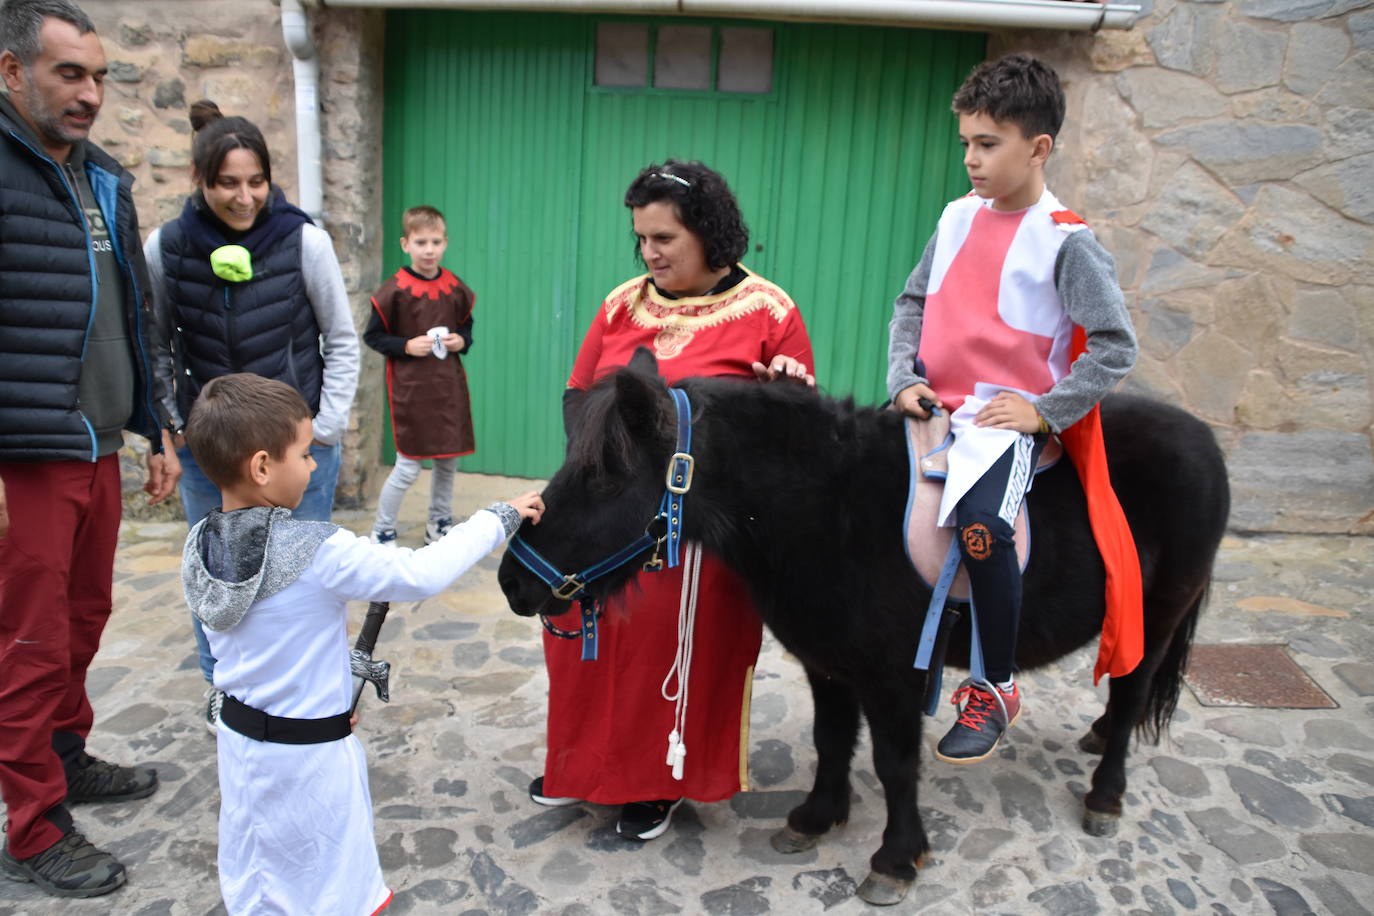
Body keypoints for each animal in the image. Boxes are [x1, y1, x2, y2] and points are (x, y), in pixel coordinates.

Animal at [500, 348, 1231, 900]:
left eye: (604, 475)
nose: (512, 581)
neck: (830, 506)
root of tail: (1204, 438)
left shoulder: (895, 678)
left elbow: (894, 762)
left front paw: (895, 859)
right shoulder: (829, 664)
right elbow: (831, 740)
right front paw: (815, 818)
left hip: (1157, 618)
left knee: (1133, 691)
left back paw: (1106, 795)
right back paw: (1097, 735)